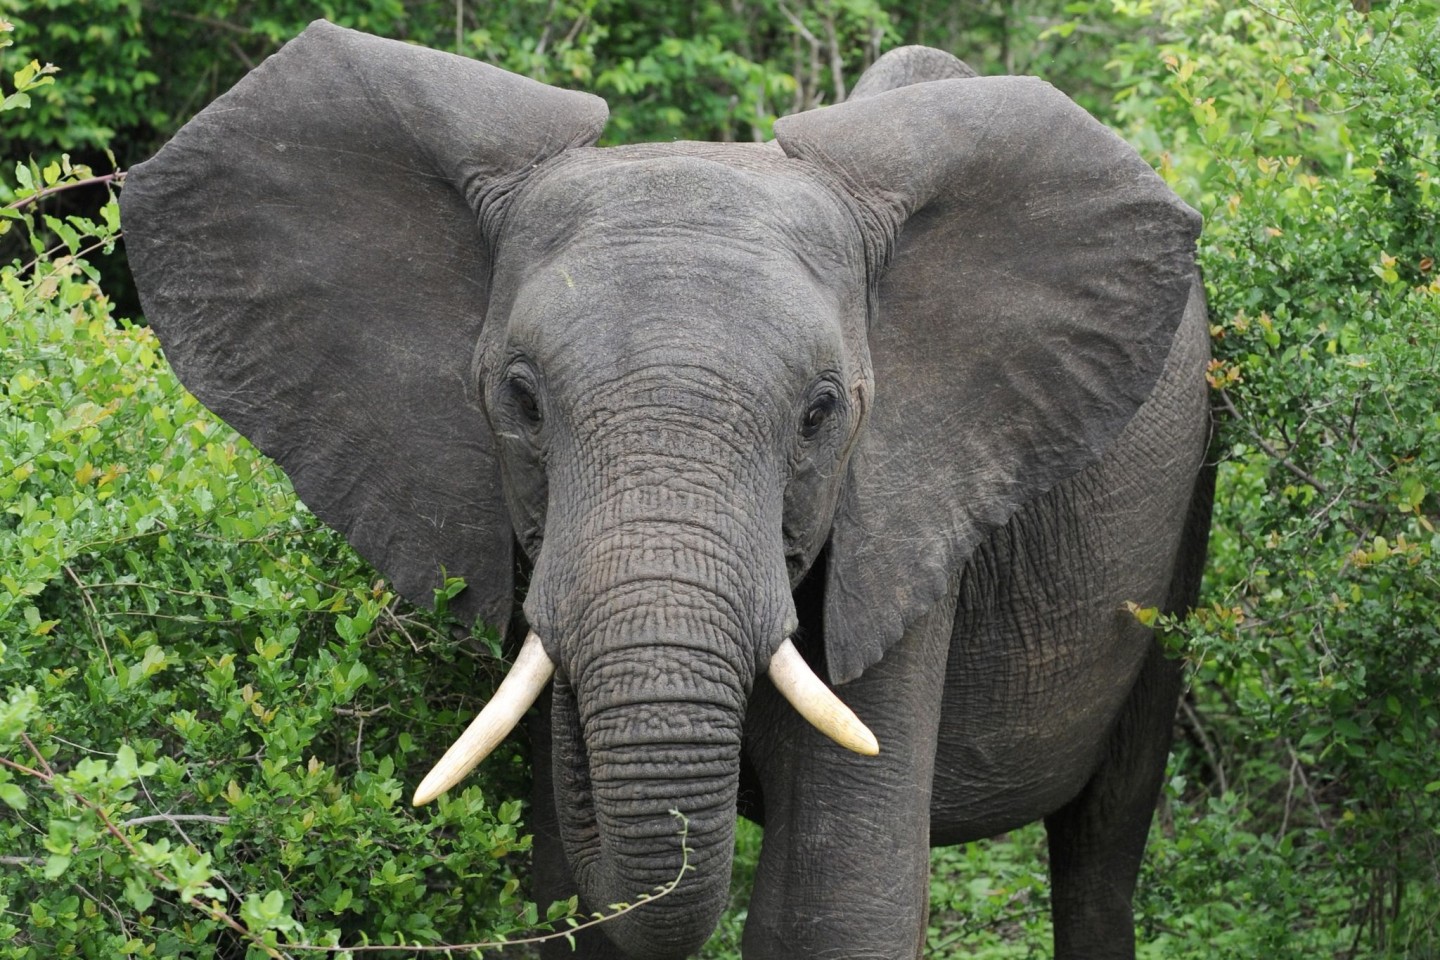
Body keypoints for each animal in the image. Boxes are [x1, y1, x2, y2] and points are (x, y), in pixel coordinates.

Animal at [118, 22, 1209, 960]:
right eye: (520, 400)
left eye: (821, 413)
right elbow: (569, 909)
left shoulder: (906, 511)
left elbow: (832, 912)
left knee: (1105, 837)